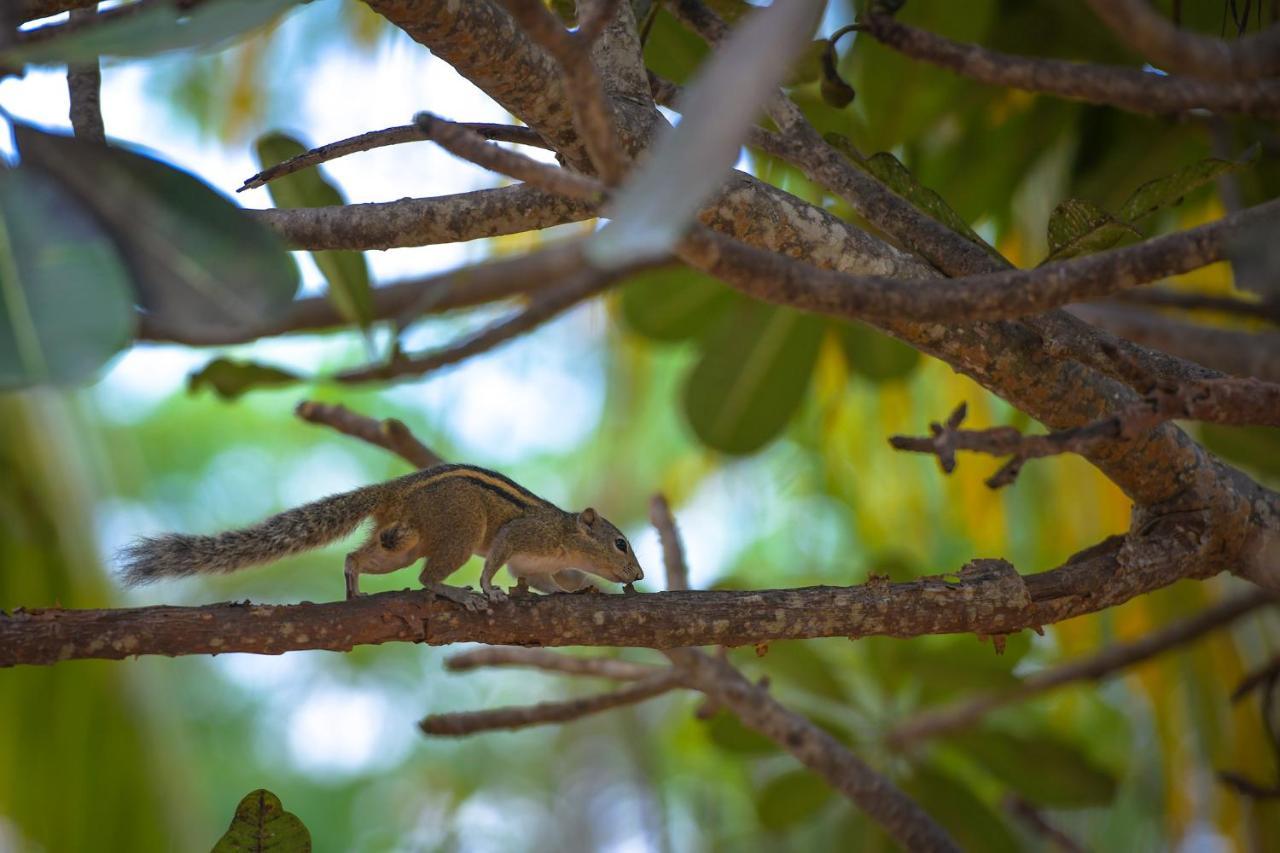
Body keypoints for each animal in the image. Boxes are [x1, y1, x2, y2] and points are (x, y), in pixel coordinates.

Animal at [120, 461, 645, 607]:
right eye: (620, 542)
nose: (638, 573)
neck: (566, 535)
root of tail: (397, 490)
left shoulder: (537, 567)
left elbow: (548, 583)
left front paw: (587, 588)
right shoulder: (521, 535)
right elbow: (498, 559)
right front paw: (489, 589)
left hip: (402, 543)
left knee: (362, 557)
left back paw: (353, 586)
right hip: (459, 530)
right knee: (428, 578)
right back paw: (456, 593)